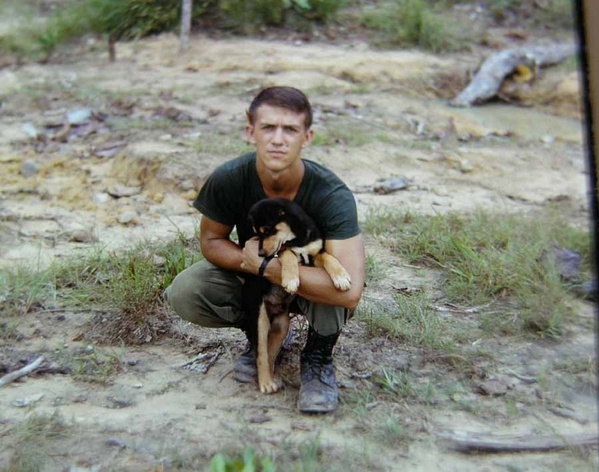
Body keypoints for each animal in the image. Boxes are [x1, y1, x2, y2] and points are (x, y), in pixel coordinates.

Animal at [244, 197, 352, 392]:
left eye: (267, 230)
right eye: (257, 234)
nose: (260, 254)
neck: (297, 238)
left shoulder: (315, 253)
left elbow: (328, 257)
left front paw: (341, 276)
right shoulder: (284, 250)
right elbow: (288, 254)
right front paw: (291, 280)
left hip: (282, 325)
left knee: (270, 354)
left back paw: (274, 379)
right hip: (259, 320)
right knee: (261, 354)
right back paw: (265, 383)